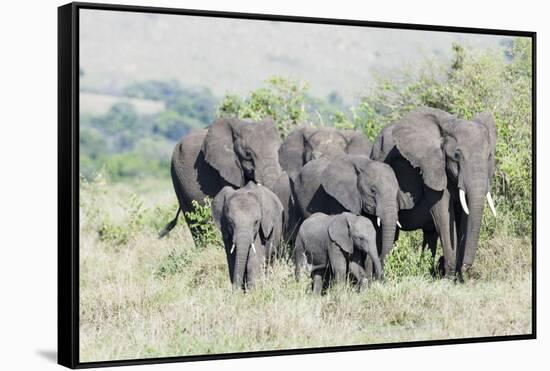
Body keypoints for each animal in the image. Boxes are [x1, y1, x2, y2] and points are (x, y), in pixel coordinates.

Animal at [370, 107, 500, 280]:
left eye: (489, 156)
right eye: (456, 156)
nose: (467, 268)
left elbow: (465, 215)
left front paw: (457, 278)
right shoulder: (432, 168)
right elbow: (443, 213)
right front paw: (449, 277)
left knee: (429, 235)